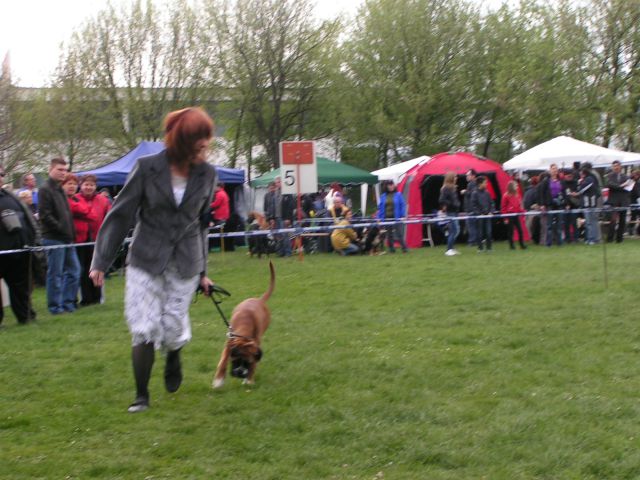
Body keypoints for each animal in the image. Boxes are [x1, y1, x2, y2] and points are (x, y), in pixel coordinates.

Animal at [212, 260, 276, 388]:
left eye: (247, 363)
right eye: (235, 361)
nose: (240, 373)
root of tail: (259, 300)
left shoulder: (256, 346)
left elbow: (254, 364)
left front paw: (249, 380)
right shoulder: (229, 344)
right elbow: (223, 361)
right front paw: (219, 380)